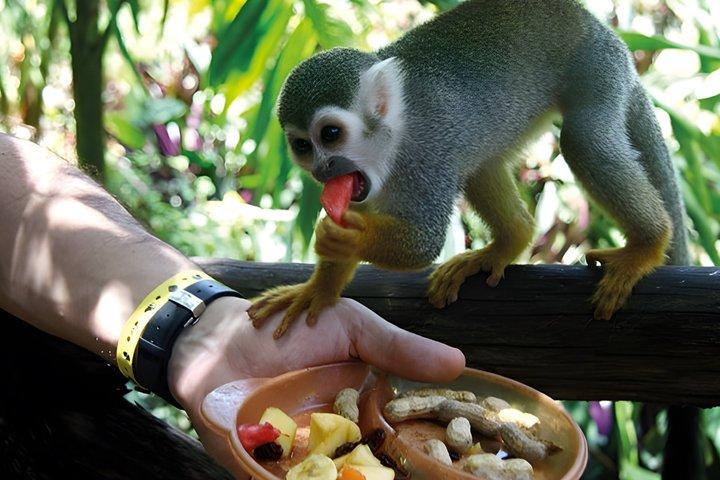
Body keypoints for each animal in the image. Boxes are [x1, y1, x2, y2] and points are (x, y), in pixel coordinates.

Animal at [247, 0, 688, 340]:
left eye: (331, 135)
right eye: (303, 146)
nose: (323, 169)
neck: (393, 137)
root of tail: (598, 27)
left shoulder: (429, 153)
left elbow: (423, 242)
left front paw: (346, 238)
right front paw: (319, 291)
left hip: (596, 69)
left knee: (582, 139)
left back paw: (647, 245)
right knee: (481, 161)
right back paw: (511, 240)